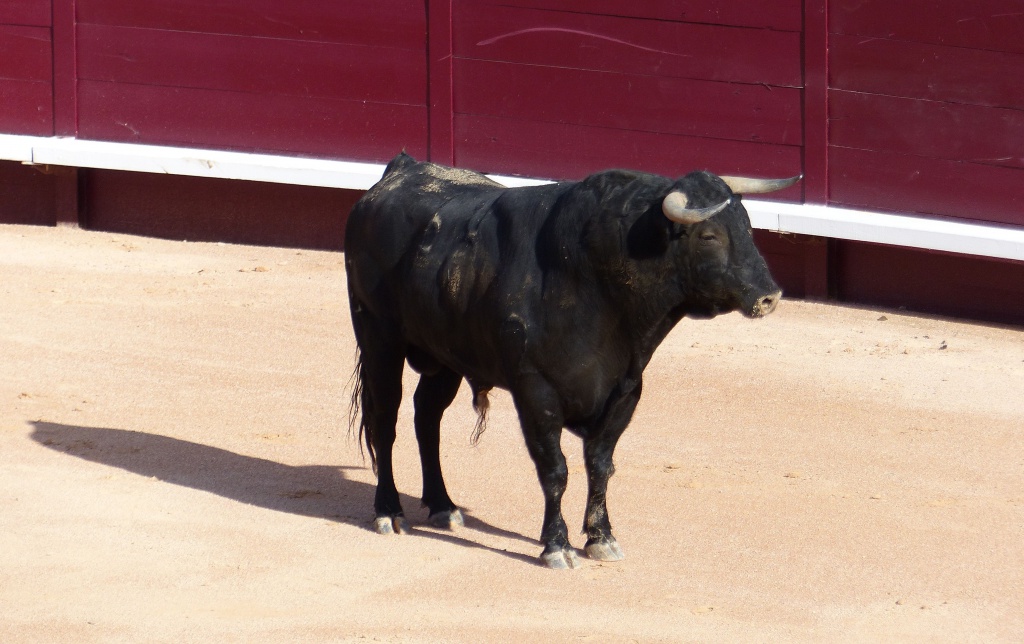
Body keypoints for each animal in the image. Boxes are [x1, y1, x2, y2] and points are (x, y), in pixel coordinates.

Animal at [346, 154, 798, 569]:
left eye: (747, 227)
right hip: (379, 340)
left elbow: (600, 465)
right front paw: (556, 546)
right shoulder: (535, 392)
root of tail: (400, 169)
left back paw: (443, 505)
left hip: (445, 358)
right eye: (709, 236)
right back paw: (389, 512)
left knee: (427, 417)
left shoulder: (625, 391)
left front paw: (601, 537)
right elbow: (555, 470)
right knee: (386, 421)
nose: (769, 296)